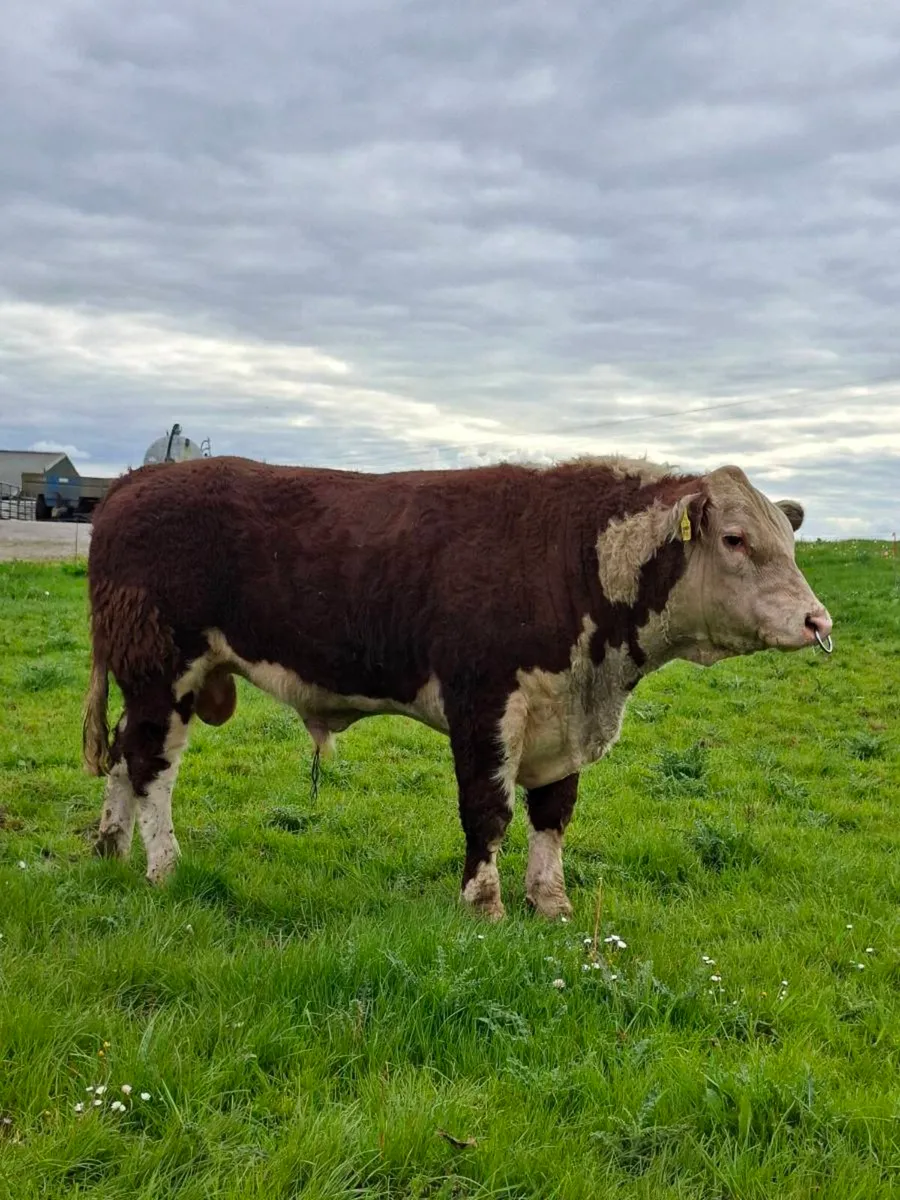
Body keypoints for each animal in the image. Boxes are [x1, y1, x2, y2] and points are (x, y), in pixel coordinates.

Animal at [82, 454, 832, 920]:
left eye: (790, 542)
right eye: (734, 538)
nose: (817, 620)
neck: (571, 560)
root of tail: (135, 481)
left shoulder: (563, 716)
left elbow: (553, 814)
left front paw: (550, 902)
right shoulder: (483, 703)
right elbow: (489, 811)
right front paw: (484, 902)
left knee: (121, 752)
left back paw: (111, 848)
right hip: (161, 667)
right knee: (150, 763)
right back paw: (163, 866)